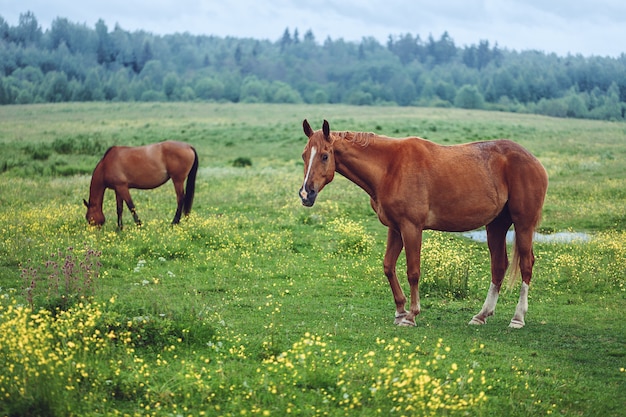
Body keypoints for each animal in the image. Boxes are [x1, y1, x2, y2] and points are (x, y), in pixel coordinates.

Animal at [298, 118, 544, 326]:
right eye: (304, 155)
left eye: (325, 156)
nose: (306, 194)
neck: (389, 168)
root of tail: (534, 161)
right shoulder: (395, 228)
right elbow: (388, 266)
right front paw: (400, 311)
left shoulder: (411, 228)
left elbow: (413, 271)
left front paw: (411, 315)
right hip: (496, 226)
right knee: (499, 266)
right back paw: (482, 315)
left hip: (523, 225)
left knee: (526, 264)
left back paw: (517, 318)